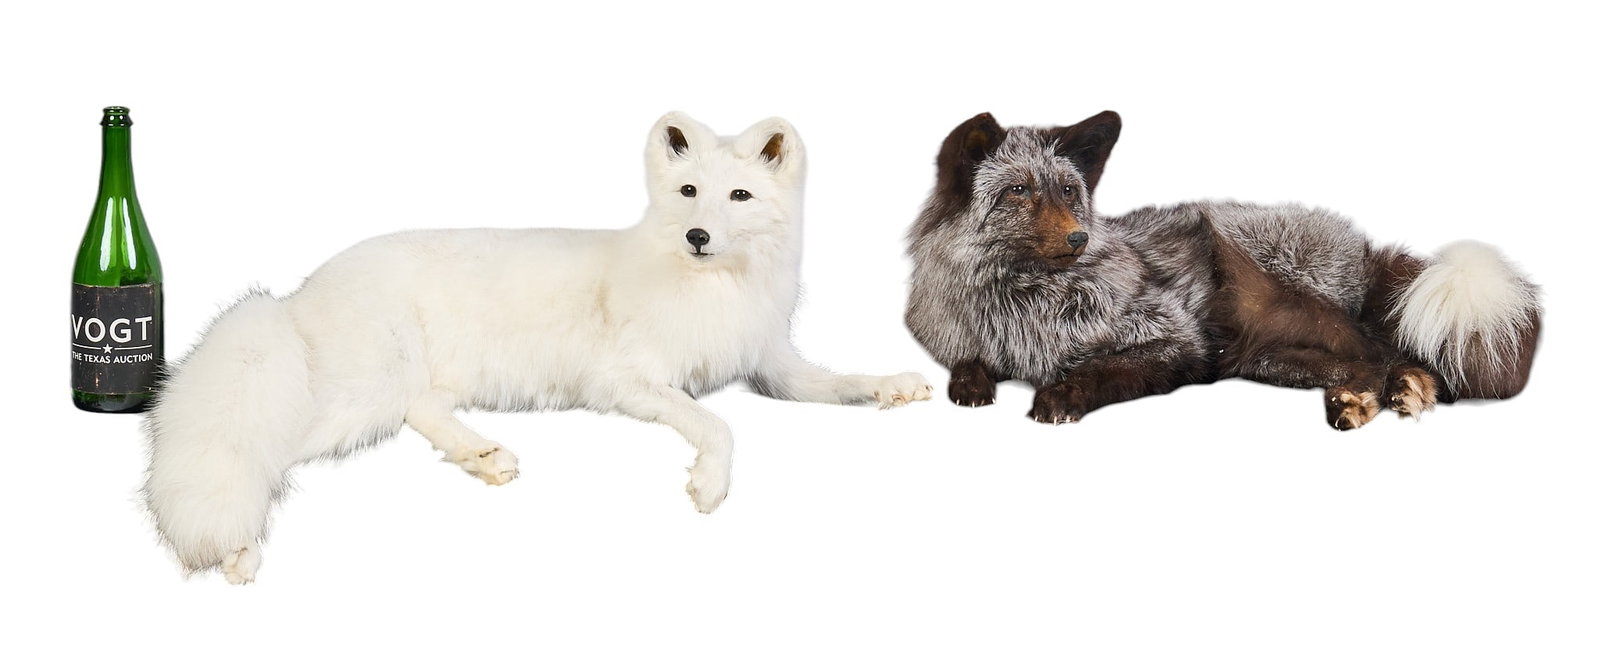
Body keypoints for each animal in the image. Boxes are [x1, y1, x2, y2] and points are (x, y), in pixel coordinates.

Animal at [144, 112, 933, 584]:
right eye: (687, 191)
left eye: (738, 196)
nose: (697, 235)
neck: (715, 287)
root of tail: (295, 295)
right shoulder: (626, 380)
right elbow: (719, 423)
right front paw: (710, 482)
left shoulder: (771, 363)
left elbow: (835, 381)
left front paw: (894, 382)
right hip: (360, 393)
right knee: (270, 452)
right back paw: (241, 547)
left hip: (414, 386)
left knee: (423, 413)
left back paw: (482, 456)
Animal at [905, 111, 1540, 427]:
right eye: (1017, 191)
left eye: (1067, 190)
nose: (1080, 237)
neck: (1022, 304)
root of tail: (1363, 247)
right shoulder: (965, 337)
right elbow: (967, 362)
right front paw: (971, 385)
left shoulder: (1176, 339)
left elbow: (1098, 369)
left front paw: (1060, 396)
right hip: (1269, 357)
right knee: (1367, 367)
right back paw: (1360, 401)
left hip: (1301, 311)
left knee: (1395, 357)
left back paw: (1396, 391)